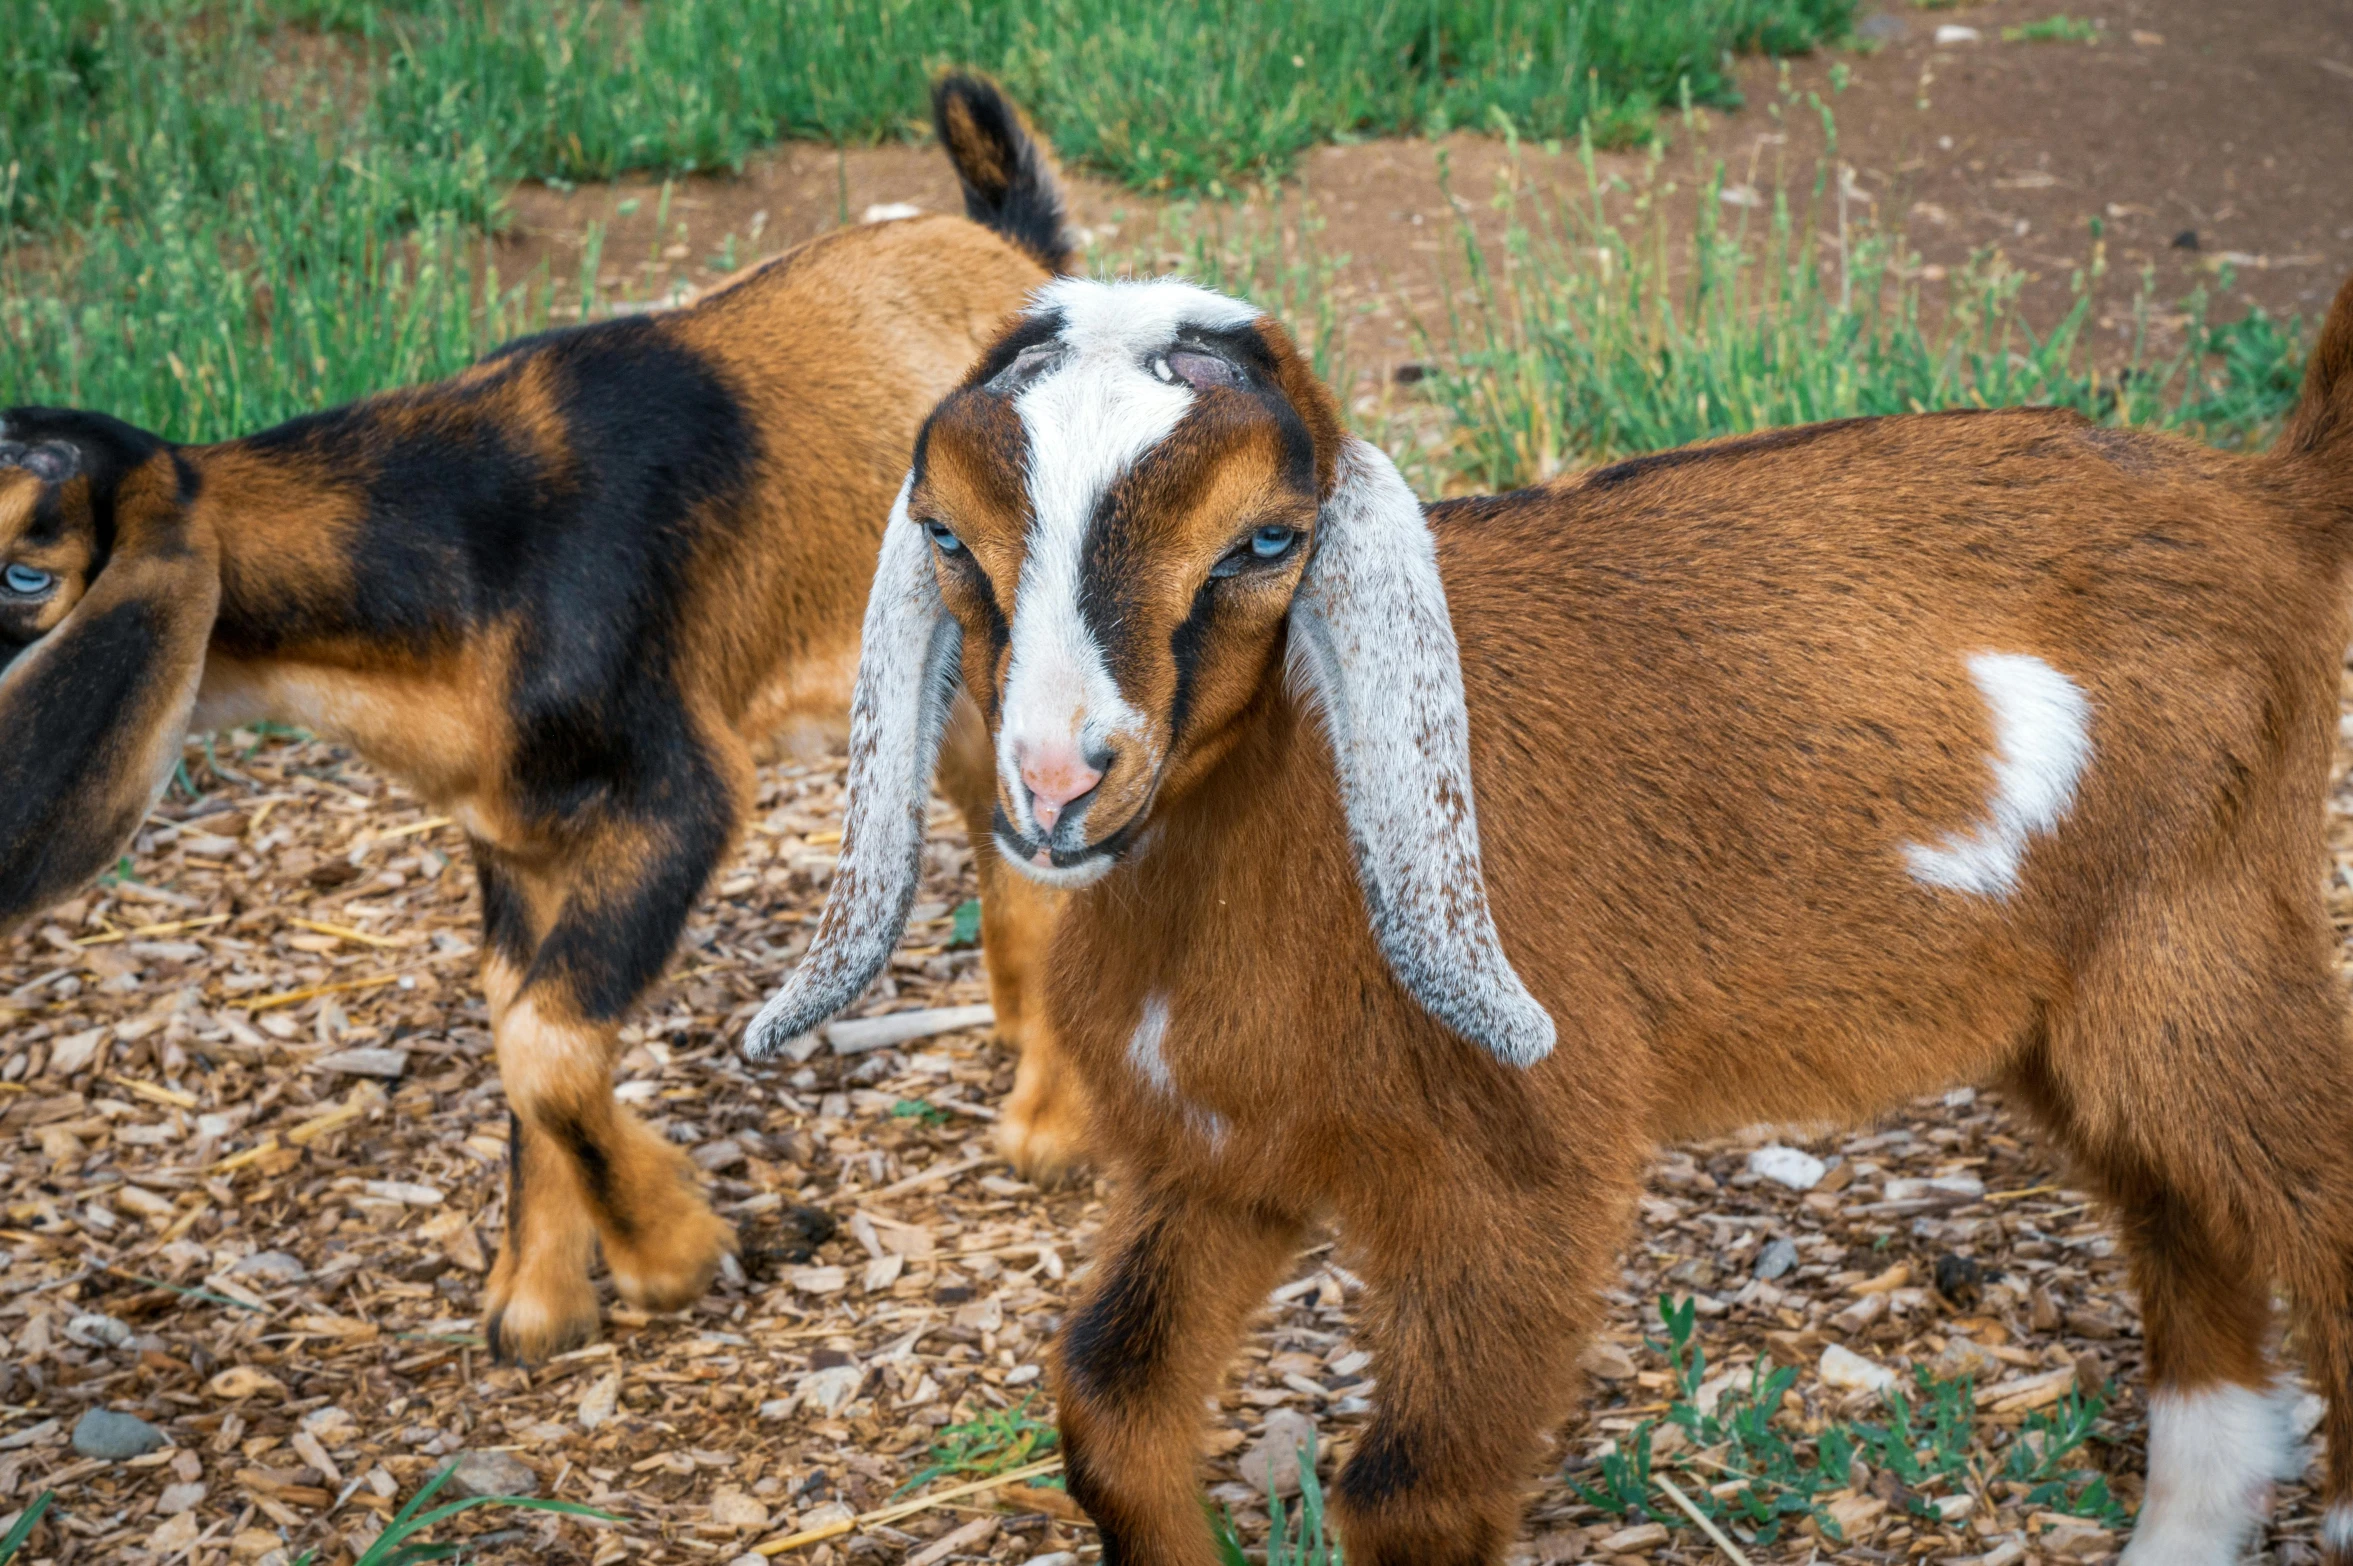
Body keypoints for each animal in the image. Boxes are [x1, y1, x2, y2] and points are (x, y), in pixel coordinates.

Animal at [0, 76, 1082, 1363]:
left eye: (26, 571)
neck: (463, 555)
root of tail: (1019, 258)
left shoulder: (681, 792)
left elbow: (547, 1044)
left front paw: (670, 1253)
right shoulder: (515, 833)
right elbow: (520, 1026)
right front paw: (540, 1299)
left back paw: (1051, 1123)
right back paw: (1020, 1038)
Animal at [752, 273, 2353, 1561]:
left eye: (1266, 542)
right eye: (950, 537)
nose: (1056, 781)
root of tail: (2264, 503)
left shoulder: (1521, 1173)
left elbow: (1413, 1490)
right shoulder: (1217, 1156)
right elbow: (1109, 1396)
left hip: (2194, 934)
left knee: (2310, 1193)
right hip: (2071, 1002)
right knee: (2186, 1213)